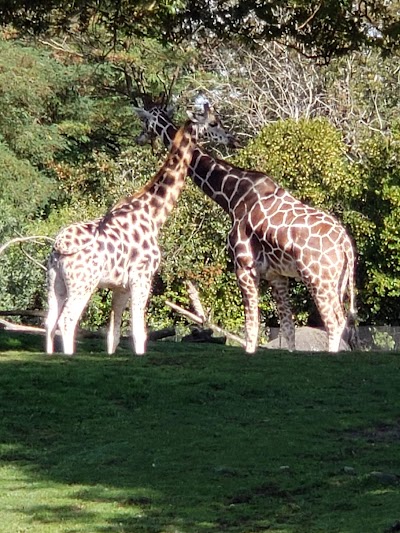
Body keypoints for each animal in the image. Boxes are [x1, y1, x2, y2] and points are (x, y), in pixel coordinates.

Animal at [44, 110, 214, 356]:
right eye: (211, 121)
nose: (225, 135)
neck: (153, 214)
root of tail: (59, 246)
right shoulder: (142, 277)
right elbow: (139, 331)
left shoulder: (120, 286)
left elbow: (113, 334)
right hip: (82, 284)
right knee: (67, 321)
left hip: (54, 281)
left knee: (49, 322)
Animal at [134, 104, 356, 354]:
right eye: (215, 121)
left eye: (146, 121)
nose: (232, 140)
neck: (232, 195)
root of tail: (346, 245)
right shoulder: (277, 275)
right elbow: (288, 329)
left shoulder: (244, 267)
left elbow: (251, 329)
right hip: (337, 282)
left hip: (318, 279)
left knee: (334, 323)